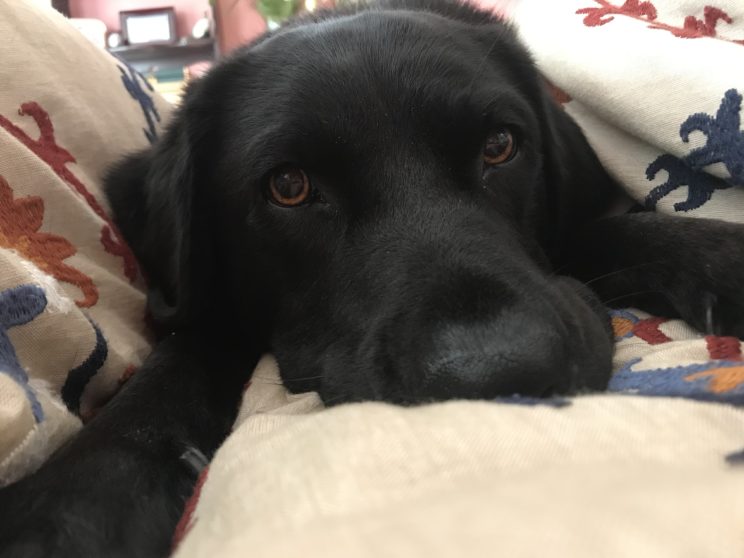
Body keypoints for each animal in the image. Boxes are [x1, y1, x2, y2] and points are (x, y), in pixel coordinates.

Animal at [1, 2, 744, 556]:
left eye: (500, 145)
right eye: (290, 187)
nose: (499, 371)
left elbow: (616, 234)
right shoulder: (205, 314)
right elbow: (174, 366)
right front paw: (71, 508)